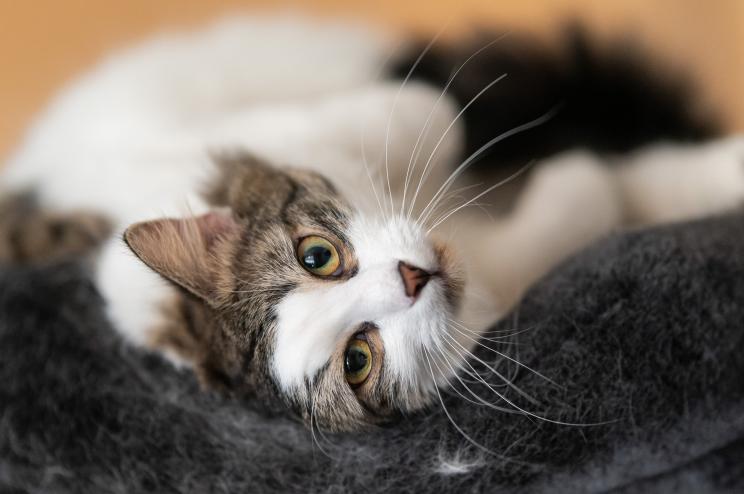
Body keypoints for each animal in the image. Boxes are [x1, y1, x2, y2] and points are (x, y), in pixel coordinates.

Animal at [1, 14, 744, 432]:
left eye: (317, 256)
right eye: (358, 361)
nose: (414, 276)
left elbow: (429, 114)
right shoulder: (490, 284)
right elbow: (564, 215)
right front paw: (583, 179)